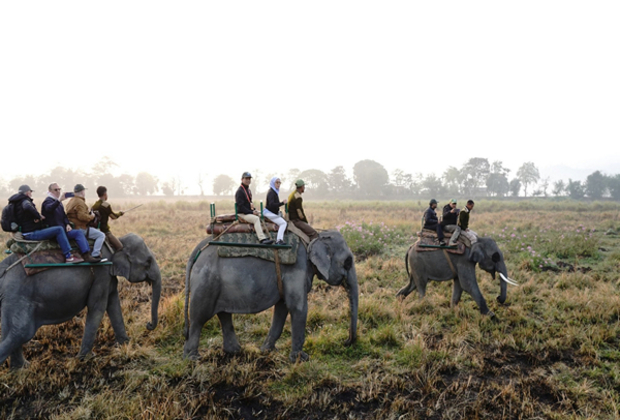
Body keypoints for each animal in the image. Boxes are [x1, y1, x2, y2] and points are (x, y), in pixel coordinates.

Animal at [0, 233, 160, 368]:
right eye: (148, 262)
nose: (148, 324)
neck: (116, 243)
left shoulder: (108, 275)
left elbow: (113, 303)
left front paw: (127, 345)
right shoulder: (102, 272)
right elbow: (97, 306)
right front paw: (84, 359)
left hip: (11, 298)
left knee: (12, 330)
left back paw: (21, 369)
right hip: (18, 296)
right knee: (22, 331)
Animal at [183, 230, 358, 360]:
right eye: (348, 262)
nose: (346, 342)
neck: (312, 237)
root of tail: (199, 248)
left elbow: (282, 308)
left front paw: (267, 351)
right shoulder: (297, 268)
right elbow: (298, 308)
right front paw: (301, 359)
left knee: (223, 314)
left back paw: (234, 351)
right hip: (205, 282)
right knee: (199, 318)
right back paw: (193, 358)